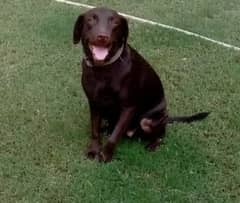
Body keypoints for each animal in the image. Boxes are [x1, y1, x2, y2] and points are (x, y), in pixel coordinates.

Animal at [72, 7, 208, 162]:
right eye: (90, 19)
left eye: (115, 22)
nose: (102, 36)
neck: (103, 69)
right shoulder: (94, 102)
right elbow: (94, 129)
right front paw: (94, 149)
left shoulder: (129, 107)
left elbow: (116, 134)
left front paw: (106, 154)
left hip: (148, 121)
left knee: (161, 134)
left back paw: (152, 144)